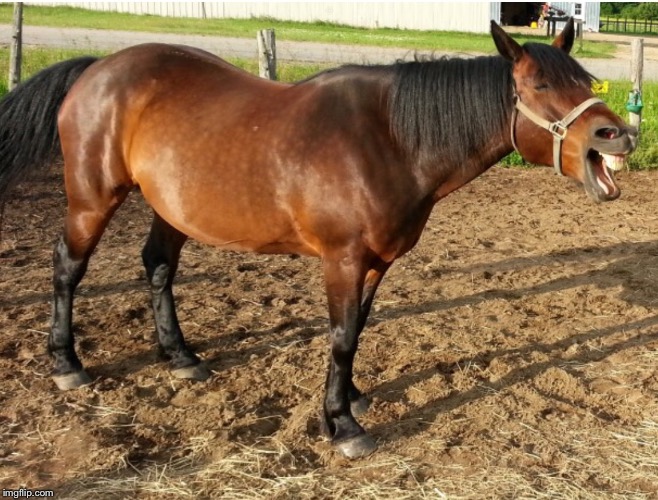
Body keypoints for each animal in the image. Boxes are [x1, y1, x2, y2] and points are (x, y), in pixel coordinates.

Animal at [0, 19, 637, 459]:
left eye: (586, 80)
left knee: (157, 265)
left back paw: (179, 357)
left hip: (170, 209)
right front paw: (343, 425)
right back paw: (66, 363)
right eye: (541, 83)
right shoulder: (344, 260)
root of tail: (98, 68)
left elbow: (355, 332)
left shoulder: (377, 262)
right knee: (67, 268)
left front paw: (350, 398)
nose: (619, 134)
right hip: (92, 198)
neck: (388, 139)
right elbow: (339, 335)